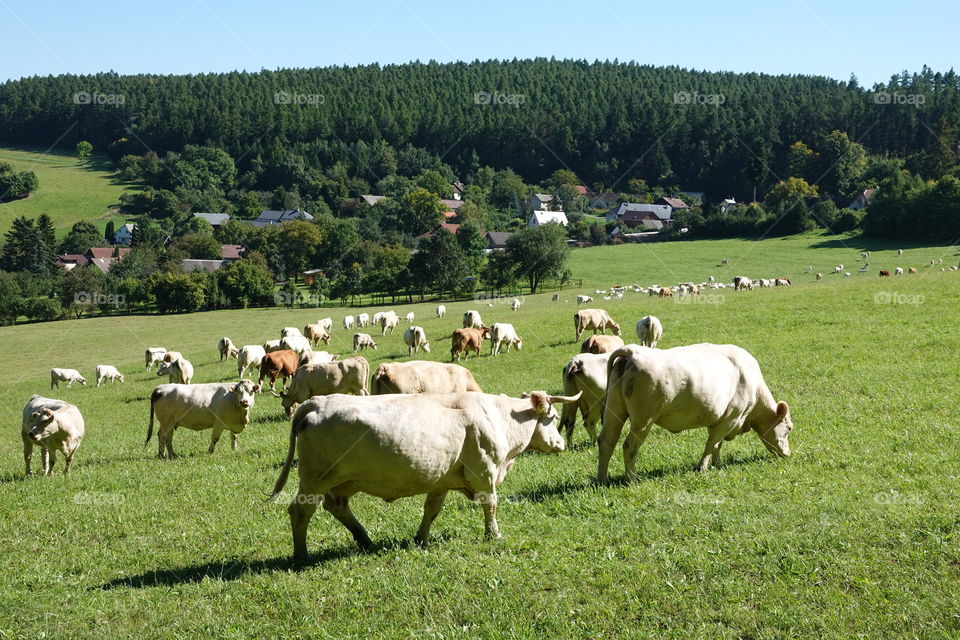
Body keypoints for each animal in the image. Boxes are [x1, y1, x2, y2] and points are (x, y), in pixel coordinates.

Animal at [274, 388, 580, 556]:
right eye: (553, 417)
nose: (561, 444)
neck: (499, 416)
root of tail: (317, 402)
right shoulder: (485, 472)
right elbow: (490, 505)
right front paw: (493, 534)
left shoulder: (441, 480)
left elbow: (431, 510)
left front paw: (420, 538)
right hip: (314, 479)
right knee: (300, 511)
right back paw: (301, 553)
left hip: (343, 481)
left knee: (337, 506)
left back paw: (365, 540)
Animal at [600, 342, 796, 482]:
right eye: (789, 428)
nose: (787, 454)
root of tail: (632, 351)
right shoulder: (731, 417)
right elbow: (712, 444)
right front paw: (702, 467)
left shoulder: (719, 419)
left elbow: (717, 445)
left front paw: (717, 463)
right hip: (643, 420)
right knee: (630, 446)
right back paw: (631, 479)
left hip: (614, 413)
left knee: (607, 441)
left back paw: (602, 479)